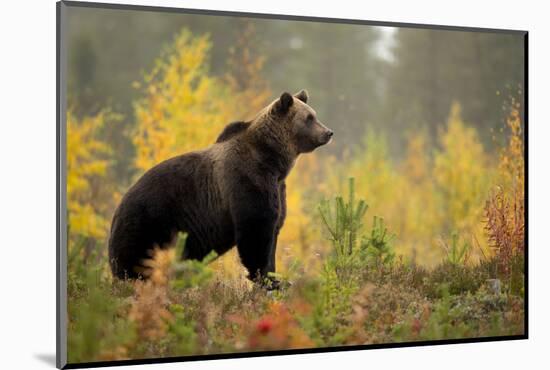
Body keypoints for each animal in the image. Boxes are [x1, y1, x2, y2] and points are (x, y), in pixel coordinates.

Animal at [108, 90, 332, 290]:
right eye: (309, 118)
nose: (328, 132)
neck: (272, 160)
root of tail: (118, 206)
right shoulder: (246, 180)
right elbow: (256, 229)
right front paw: (267, 279)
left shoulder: (277, 187)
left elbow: (273, 230)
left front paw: (276, 278)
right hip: (149, 218)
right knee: (135, 256)